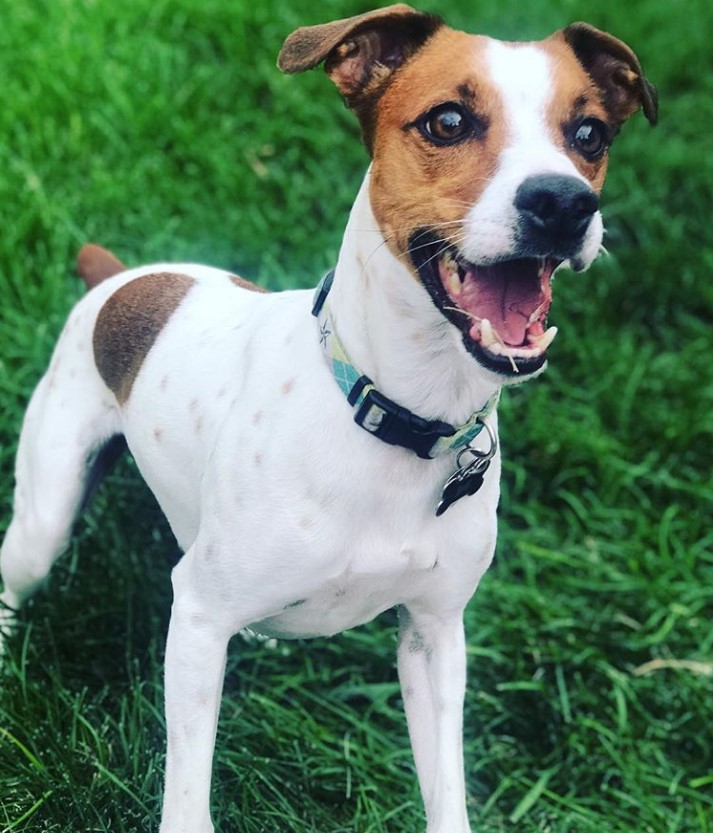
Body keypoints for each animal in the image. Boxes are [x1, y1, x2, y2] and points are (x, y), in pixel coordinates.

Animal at [1, 6, 656, 832]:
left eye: (590, 133)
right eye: (447, 120)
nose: (564, 203)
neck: (396, 416)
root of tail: (118, 277)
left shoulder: (434, 634)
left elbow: (446, 788)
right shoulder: (198, 618)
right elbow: (188, 790)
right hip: (44, 519)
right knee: (18, 573)